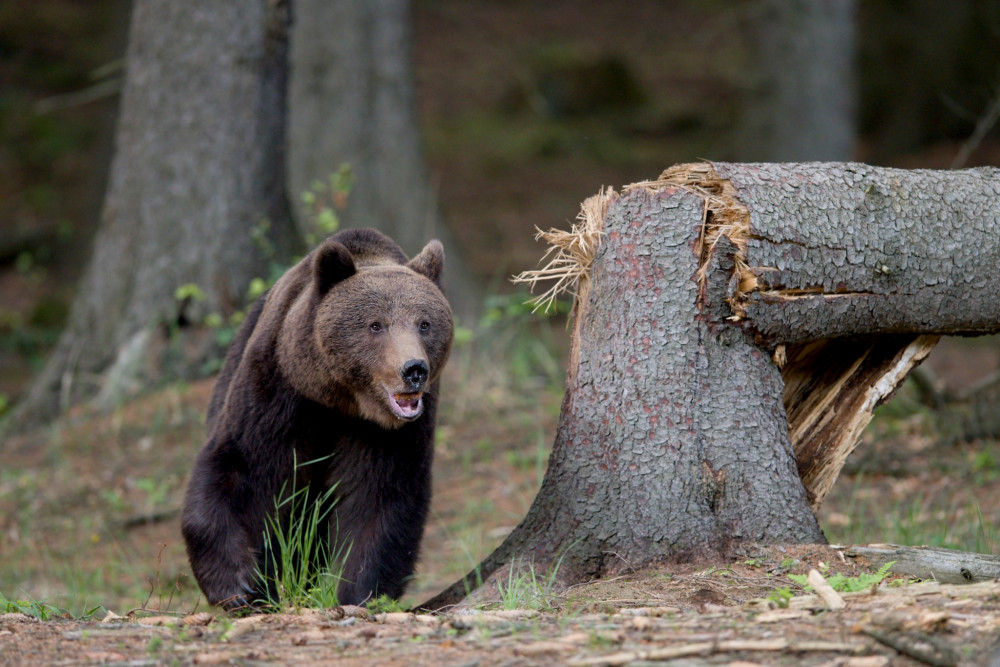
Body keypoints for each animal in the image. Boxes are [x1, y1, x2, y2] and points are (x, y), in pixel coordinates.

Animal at [182, 230, 456, 612]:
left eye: (425, 323)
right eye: (376, 325)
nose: (413, 370)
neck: (340, 401)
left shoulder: (389, 433)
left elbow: (379, 499)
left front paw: (358, 592)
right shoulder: (278, 391)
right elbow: (242, 472)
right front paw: (242, 584)